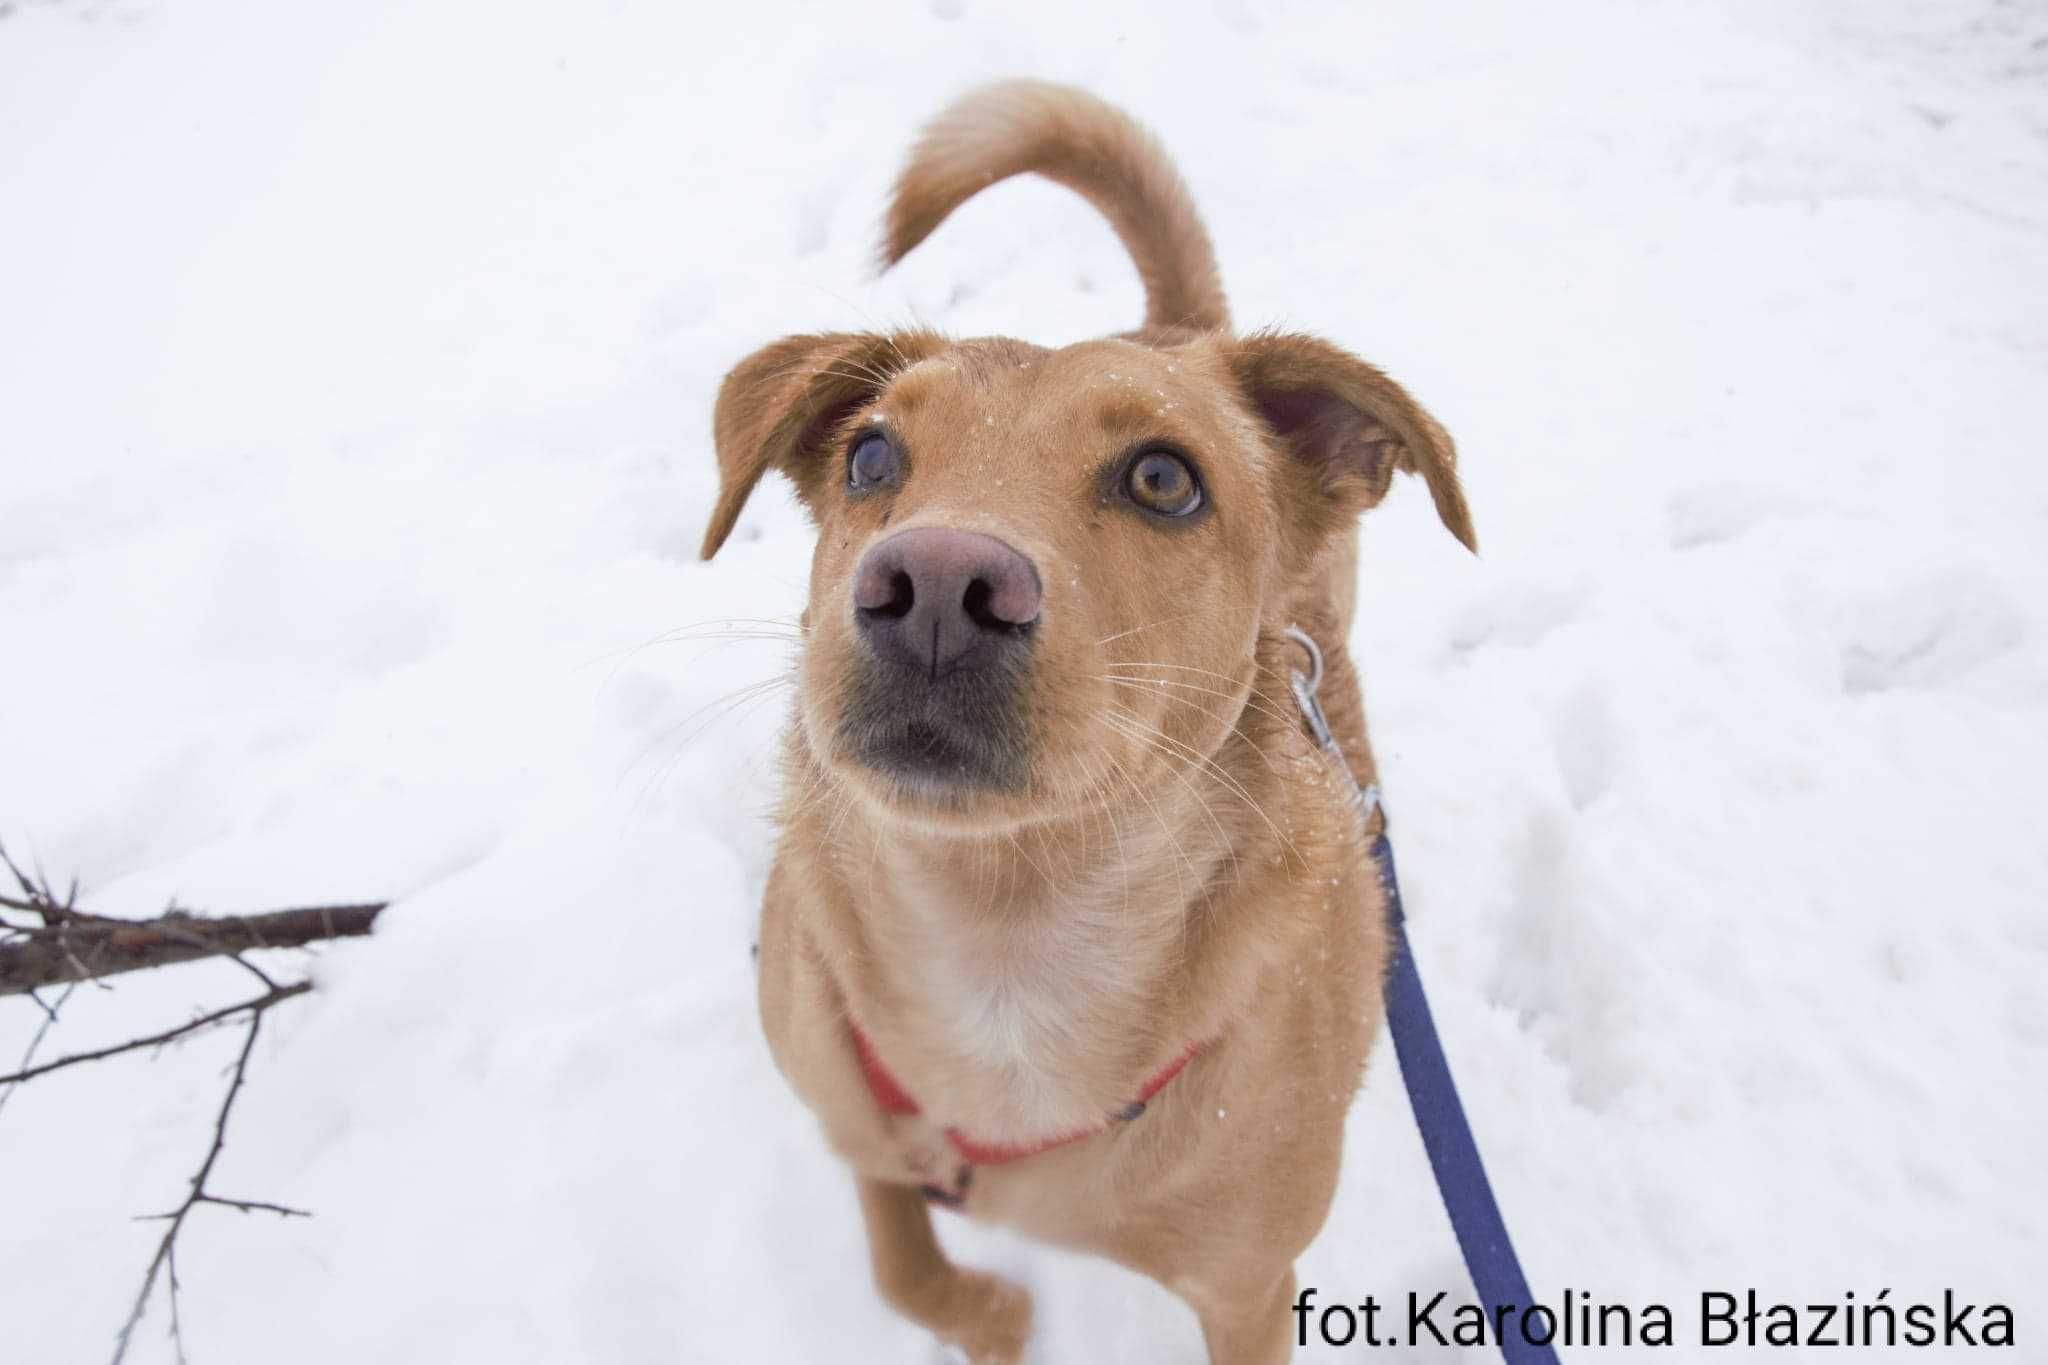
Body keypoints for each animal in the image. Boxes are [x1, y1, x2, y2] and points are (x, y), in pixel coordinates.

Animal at [700, 80, 1474, 1358]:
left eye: (1163, 478)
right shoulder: (851, 1117)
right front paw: (986, 1314)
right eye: (871, 456)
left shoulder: (1251, 1290)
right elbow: (900, 1266)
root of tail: (1180, 329)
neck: (1006, 949)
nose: (934, 591)